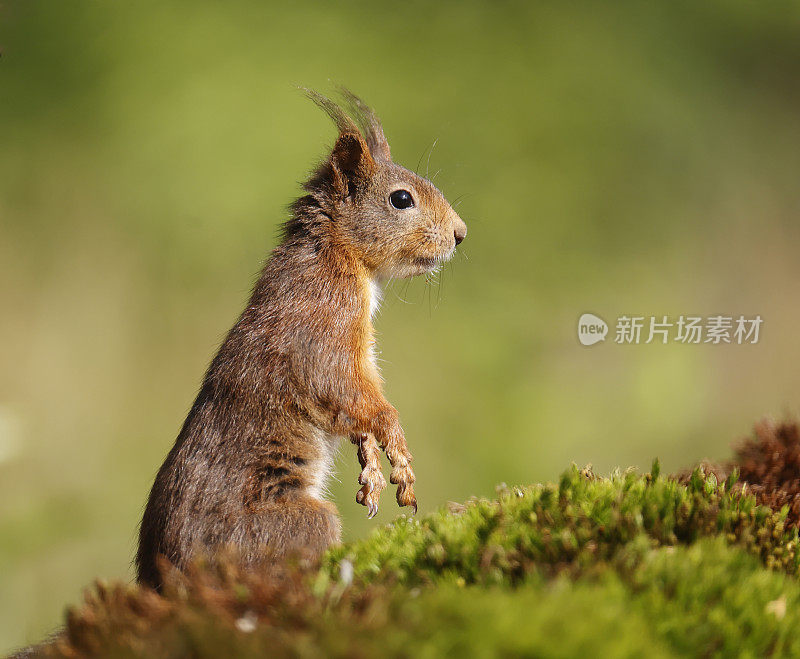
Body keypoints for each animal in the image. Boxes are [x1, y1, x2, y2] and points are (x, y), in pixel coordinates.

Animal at [134, 87, 466, 588]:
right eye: (401, 199)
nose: (460, 234)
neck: (339, 254)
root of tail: (163, 576)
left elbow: (354, 407)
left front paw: (371, 461)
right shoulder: (324, 322)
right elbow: (345, 389)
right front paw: (396, 449)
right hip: (292, 527)